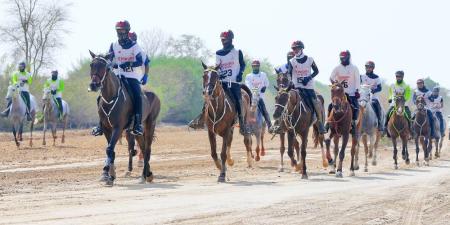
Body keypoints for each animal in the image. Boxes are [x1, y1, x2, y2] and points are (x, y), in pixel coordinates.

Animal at [88, 51, 160, 186]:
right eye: (91, 65)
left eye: (106, 67)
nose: (94, 85)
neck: (110, 98)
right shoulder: (107, 129)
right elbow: (110, 150)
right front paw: (109, 175)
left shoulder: (118, 128)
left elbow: (110, 149)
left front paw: (109, 174)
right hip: (136, 131)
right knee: (142, 148)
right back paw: (145, 175)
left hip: (150, 125)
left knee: (147, 149)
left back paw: (146, 175)